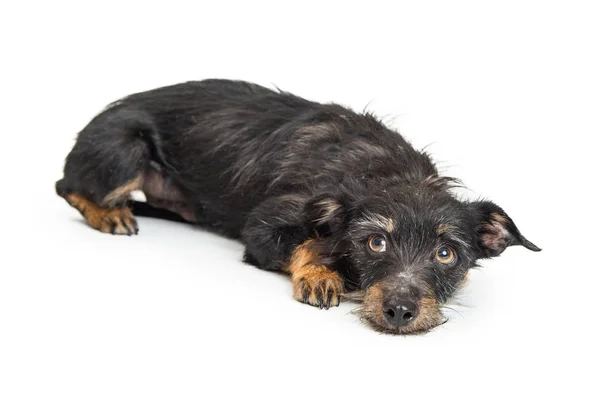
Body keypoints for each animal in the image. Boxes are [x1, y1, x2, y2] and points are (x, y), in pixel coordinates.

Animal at [56, 78, 540, 334]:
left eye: (445, 254)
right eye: (376, 243)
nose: (400, 312)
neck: (389, 170)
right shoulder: (263, 227)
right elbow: (304, 242)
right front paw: (322, 274)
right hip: (125, 148)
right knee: (67, 187)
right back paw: (110, 213)